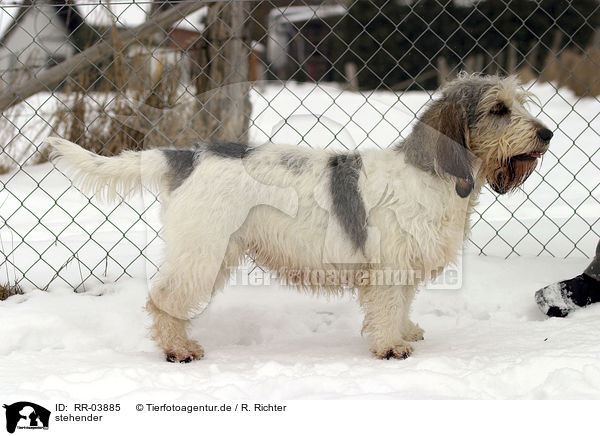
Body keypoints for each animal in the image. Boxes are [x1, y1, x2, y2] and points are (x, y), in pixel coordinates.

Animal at [47, 74, 552, 362]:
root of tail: (186, 155)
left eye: (521, 103)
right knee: (163, 300)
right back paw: (178, 349)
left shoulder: (403, 264)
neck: (433, 174)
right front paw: (391, 346)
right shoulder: (387, 267)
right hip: (202, 251)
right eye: (499, 109)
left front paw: (405, 331)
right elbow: (389, 306)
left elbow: (404, 303)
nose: (548, 133)